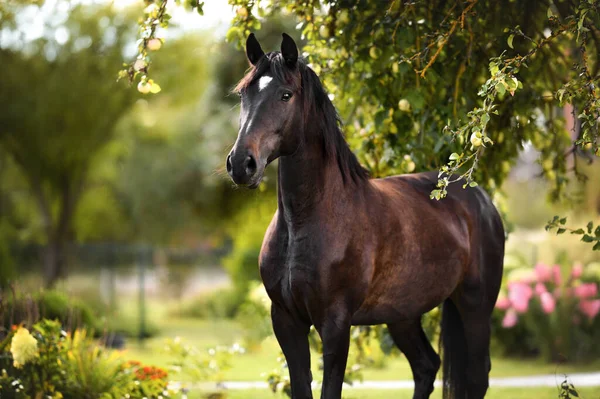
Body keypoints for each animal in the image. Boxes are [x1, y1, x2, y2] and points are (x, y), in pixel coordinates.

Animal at [226, 32, 506, 398]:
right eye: (244, 94)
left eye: (285, 95)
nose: (241, 164)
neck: (307, 221)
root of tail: (479, 198)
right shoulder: (286, 321)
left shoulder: (335, 324)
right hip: (403, 315)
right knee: (426, 366)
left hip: (475, 306)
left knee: (476, 375)